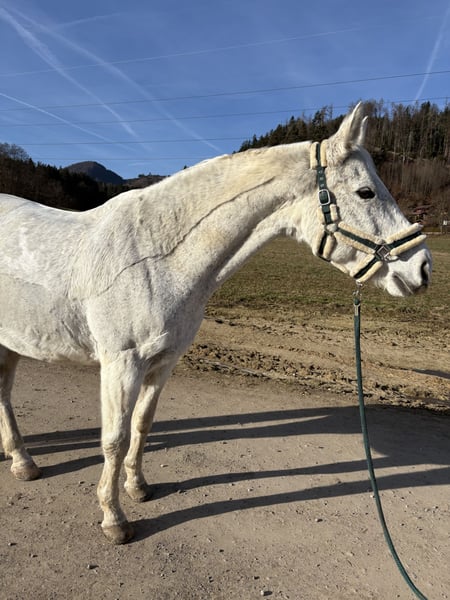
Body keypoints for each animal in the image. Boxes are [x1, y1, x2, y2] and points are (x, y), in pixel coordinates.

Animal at [0, 103, 431, 544]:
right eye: (366, 192)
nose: (422, 269)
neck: (155, 256)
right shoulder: (121, 364)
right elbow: (115, 440)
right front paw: (114, 518)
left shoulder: (163, 362)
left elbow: (142, 424)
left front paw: (137, 487)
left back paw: (22, 461)